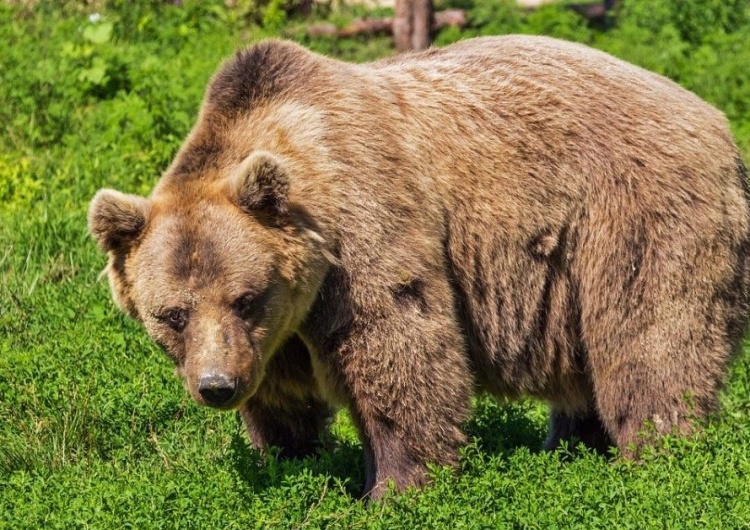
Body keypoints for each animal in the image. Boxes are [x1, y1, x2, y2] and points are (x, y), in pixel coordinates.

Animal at [86, 35, 750, 498]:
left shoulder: (363, 230)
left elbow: (400, 347)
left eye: (245, 298)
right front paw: (288, 459)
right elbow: (283, 397)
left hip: (634, 216)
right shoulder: (278, 333)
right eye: (172, 314)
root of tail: (716, 120)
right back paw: (570, 447)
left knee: (651, 340)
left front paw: (395, 487)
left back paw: (659, 456)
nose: (217, 386)